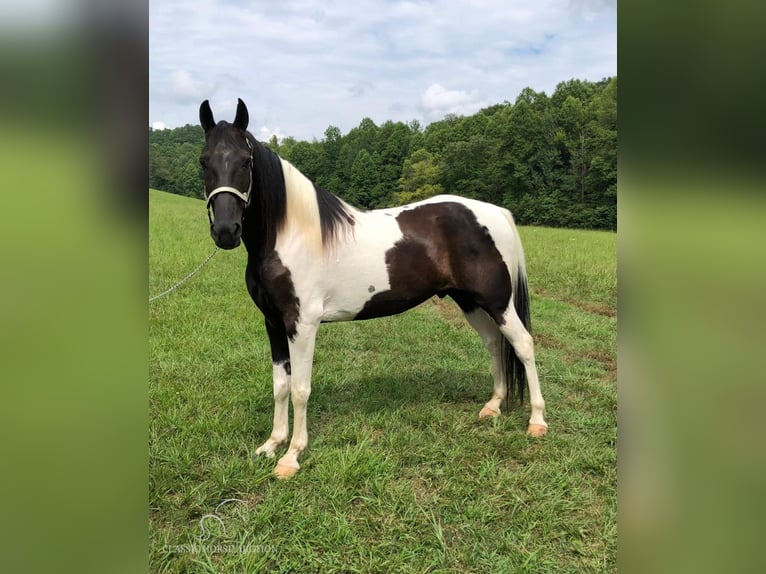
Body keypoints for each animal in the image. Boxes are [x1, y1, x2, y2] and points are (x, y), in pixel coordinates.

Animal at [198, 99, 544, 482]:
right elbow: (281, 385)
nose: (226, 231)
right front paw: (272, 445)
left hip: (498, 302)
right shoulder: (274, 323)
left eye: (246, 161)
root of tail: (496, 213)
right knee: (495, 344)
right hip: (470, 302)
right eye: (204, 161)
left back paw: (537, 422)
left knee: (523, 345)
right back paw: (493, 407)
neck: (293, 235)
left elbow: (301, 389)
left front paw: (291, 457)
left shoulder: (302, 324)